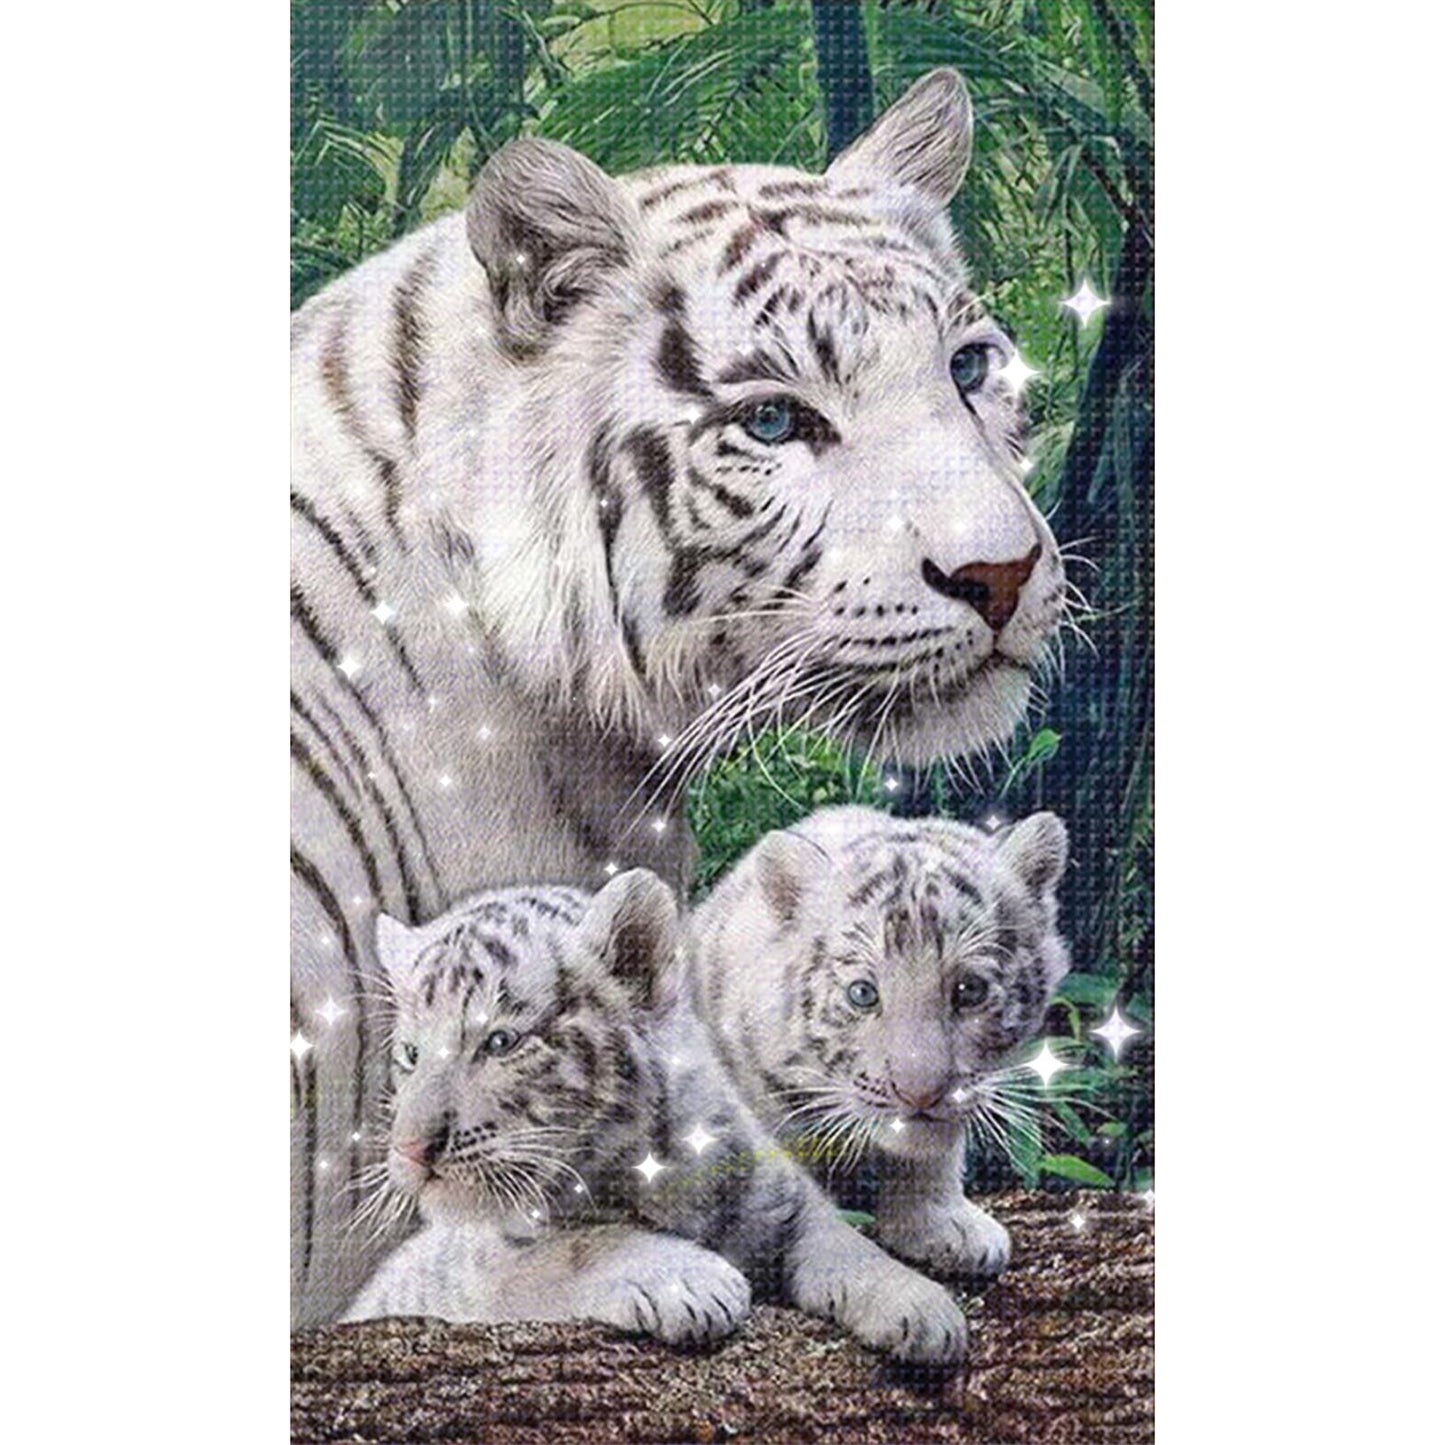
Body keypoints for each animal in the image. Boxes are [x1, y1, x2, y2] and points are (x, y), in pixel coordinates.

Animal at [342, 869, 969, 1366]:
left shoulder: (784, 1199)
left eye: (500, 1042)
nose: (410, 1149)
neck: (647, 1167)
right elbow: (577, 1247)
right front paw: (694, 1282)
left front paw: (924, 1310)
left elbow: (846, 1243)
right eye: (411, 1054)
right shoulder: (483, 1269)